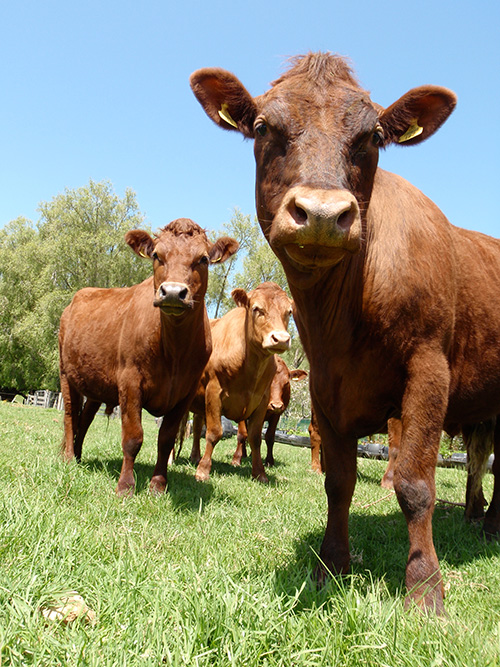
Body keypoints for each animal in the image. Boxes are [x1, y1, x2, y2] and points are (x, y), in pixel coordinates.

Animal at [59, 218, 238, 495]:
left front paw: (158, 485)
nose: (173, 292)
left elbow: (166, 438)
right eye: (156, 255)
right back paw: (69, 457)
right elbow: (133, 437)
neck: (174, 350)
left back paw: (78, 455)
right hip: (66, 374)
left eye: (204, 259)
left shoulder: (185, 392)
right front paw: (125, 486)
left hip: (96, 383)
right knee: (70, 415)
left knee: (85, 418)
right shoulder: (130, 382)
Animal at [188, 282, 293, 483]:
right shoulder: (214, 392)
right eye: (256, 308)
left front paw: (260, 473)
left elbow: (256, 437)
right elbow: (214, 433)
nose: (281, 339)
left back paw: (194, 456)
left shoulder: (262, 400)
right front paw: (203, 470)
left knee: (196, 427)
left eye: (289, 312)